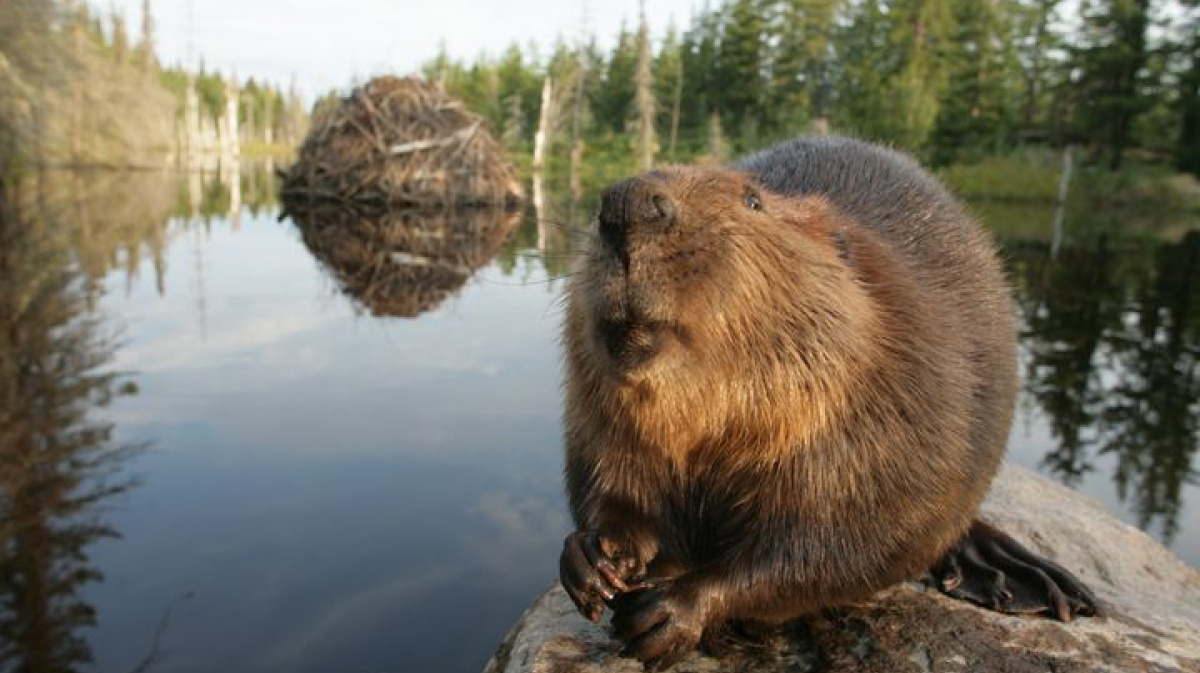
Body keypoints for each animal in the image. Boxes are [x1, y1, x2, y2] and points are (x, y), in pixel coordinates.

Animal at [559, 134, 1099, 667]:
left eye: (752, 200)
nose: (626, 204)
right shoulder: (600, 416)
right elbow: (611, 485)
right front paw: (592, 558)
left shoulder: (894, 412)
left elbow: (840, 544)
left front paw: (672, 612)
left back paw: (1025, 579)